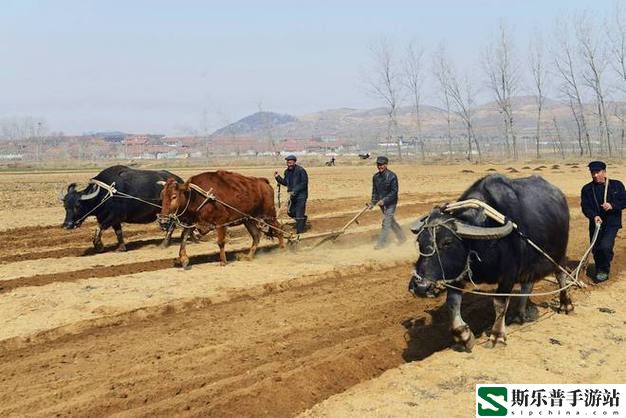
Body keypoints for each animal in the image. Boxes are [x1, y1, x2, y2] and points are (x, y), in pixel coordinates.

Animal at [410, 175, 572, 352]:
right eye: (419, 241)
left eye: (447, 242)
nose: (421, 287)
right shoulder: (457, 274)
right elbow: (452, 303)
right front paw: (464, 336)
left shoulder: (508, 276)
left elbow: (500, 303)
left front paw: (497, 336)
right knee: (527, 286)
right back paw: (519, 315)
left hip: (558, 254)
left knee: (561, 275)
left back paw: (566, 305)